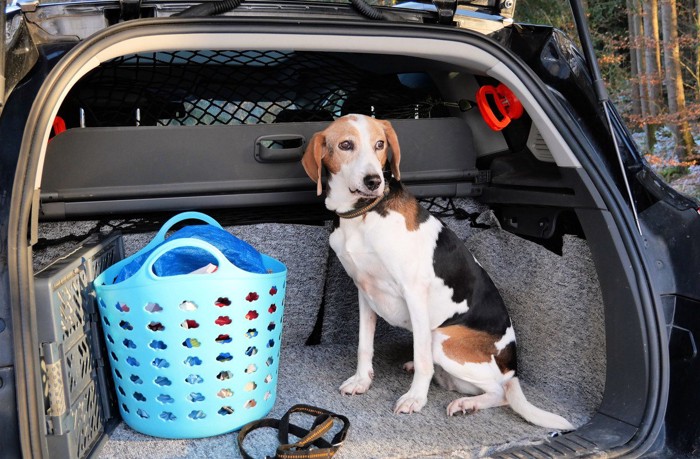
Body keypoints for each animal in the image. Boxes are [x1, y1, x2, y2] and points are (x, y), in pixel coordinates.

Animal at [300, 112, 576, 432]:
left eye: (380, 144)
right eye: (346, 145)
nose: (374, 181)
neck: (364, 213)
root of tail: (511, 368)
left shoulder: (413, 292)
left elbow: (422, 361)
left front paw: (415, 399)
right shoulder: (364, 291)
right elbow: (364, 346)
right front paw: (362, 381)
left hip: (442, 340)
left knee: (499, 392)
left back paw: (466, 403)